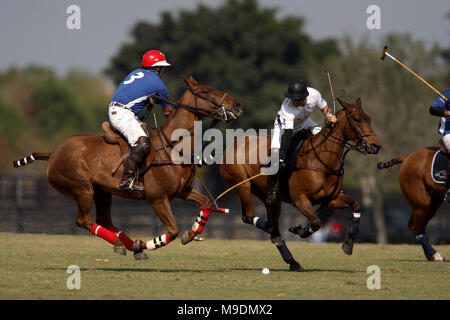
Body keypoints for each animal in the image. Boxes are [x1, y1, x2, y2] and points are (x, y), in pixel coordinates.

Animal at [13, 77, 243, 260]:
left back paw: (131, 245)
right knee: (83, 220)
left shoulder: (182, 191)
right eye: (204, 91)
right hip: (81, 188)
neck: (173, 146)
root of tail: (54, 152)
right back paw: (124, 244)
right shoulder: (157, 198)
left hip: (102, 191)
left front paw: (192, 233)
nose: (238, 105)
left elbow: (206, 203)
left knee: (104, 219)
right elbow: (173, 231)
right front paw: (151, 243)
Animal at [217, 97, 380, 270]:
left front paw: (348, 244)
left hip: (269, 198)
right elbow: (316, 222)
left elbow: (355, 205)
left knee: (274, 232)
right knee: (249, 217)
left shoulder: (331, 199)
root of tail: (232, 146)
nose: (376, 146)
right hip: (242, 185)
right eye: (356, 119)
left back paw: (293, 262)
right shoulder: (300, 199)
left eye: (369, 119)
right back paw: (271, 228)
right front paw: (299, 230)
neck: (321, 160)